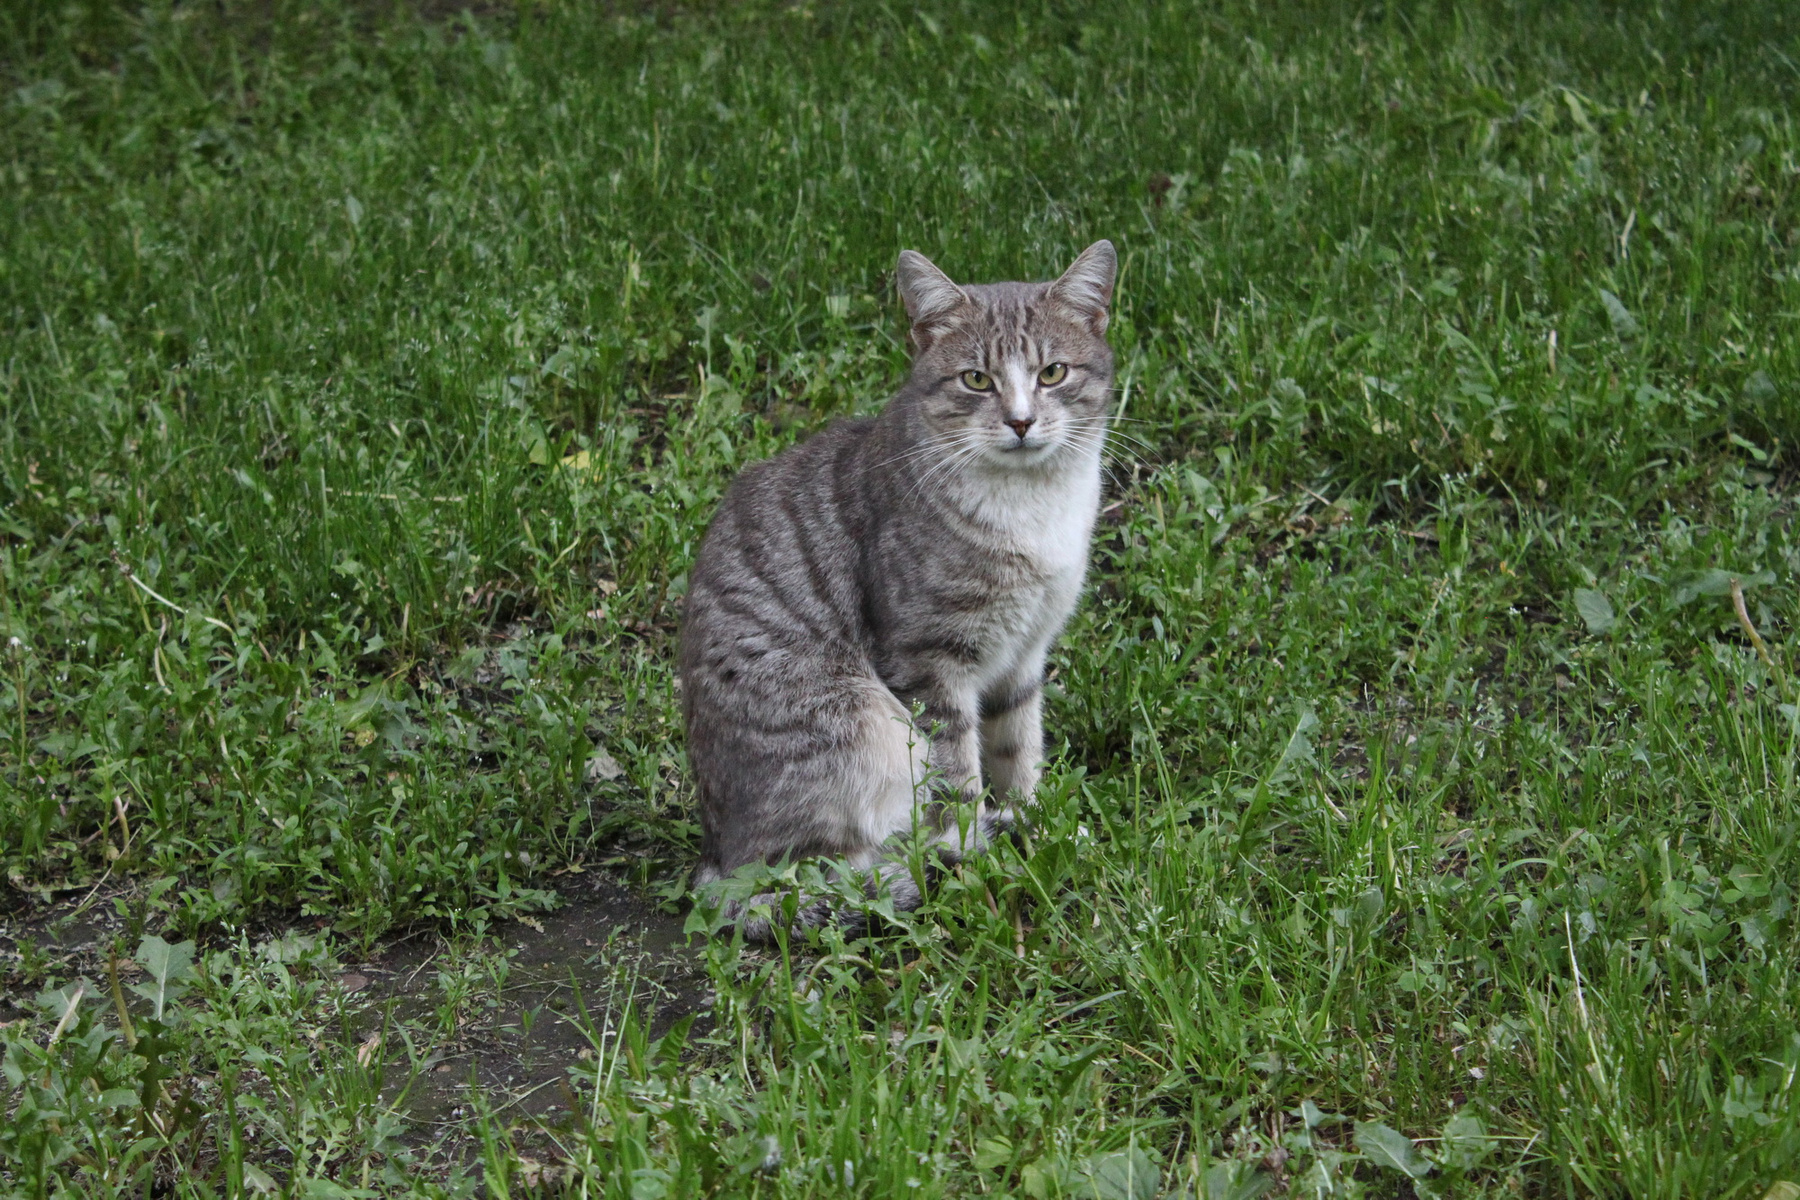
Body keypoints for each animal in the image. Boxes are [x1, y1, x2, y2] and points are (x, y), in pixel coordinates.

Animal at [678, 240, 1116, 939]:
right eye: (976, 380)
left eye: (1052, 373)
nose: (1021, 421)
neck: (1032, 507)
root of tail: (716, 863)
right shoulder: (930, 661)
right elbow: (958, 775)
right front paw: (979, 849)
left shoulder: (1024, 653)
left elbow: (1018, 749)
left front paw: (1032, 817)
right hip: (860, 722)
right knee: (835, 865)